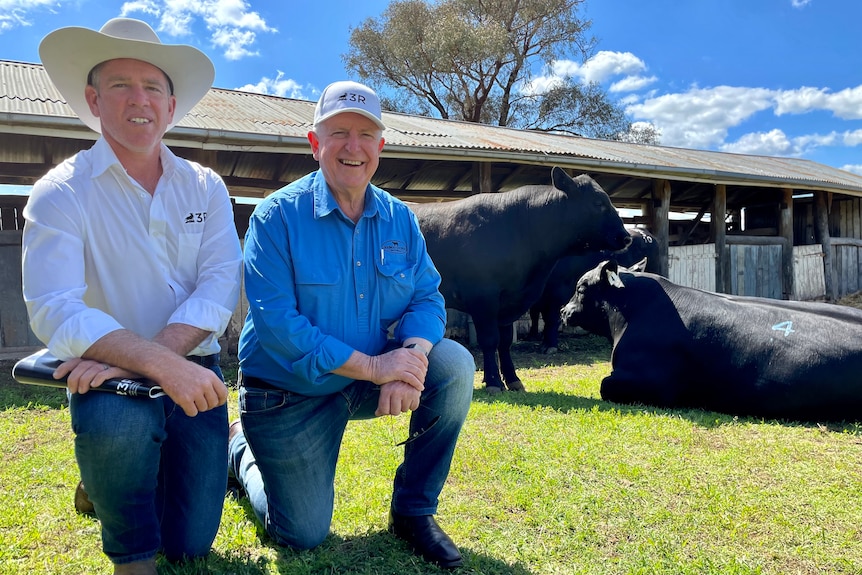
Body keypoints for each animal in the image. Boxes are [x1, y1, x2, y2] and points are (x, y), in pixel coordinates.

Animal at [416, 164, 632, 394]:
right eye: (598, 203)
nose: (626, 237)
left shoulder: (509, 302)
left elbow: (504, 341)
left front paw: (512, 379)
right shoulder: (482, 298)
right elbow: (490, 340)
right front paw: (493, 381)